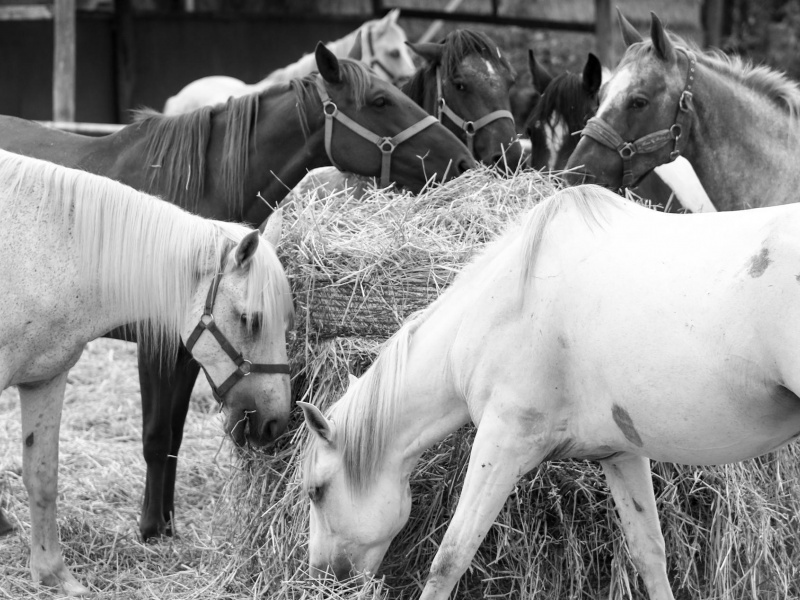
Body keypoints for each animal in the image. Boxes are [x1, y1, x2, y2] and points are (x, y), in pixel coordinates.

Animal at [0, 42, 476, 540]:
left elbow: (173, 437)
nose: (463, 160)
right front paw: (150, 528)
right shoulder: (158, 347)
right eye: (380, 101)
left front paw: (166, 523)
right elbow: (155, 436)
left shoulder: (194, 349)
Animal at [0, 149, 294, 596]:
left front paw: (53, 574)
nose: (275, 422)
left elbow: (42, 475)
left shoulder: (44, 378)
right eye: (251, 319)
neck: (46, 249)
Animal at [298, 185, 800, 596]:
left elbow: (449, 559)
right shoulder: (621, 454)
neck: (500, 305)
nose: (321, 576)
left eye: (316, 492)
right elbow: (651, 557)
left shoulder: (501, 444)